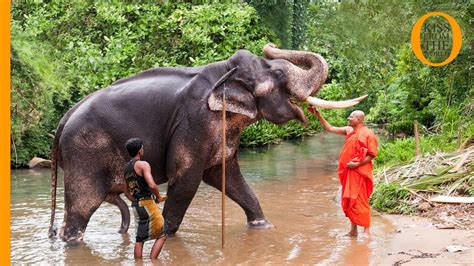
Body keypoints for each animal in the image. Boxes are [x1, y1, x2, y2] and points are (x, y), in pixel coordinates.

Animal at [48, 43, 364, 241]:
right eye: (277, 75)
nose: (270, 43)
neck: (223, 72)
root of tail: (62, 120)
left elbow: (225, 175)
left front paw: (263, 227)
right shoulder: (194, 122)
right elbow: (187, 179)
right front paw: (165, 239)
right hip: (84, 155)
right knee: (81, 208)